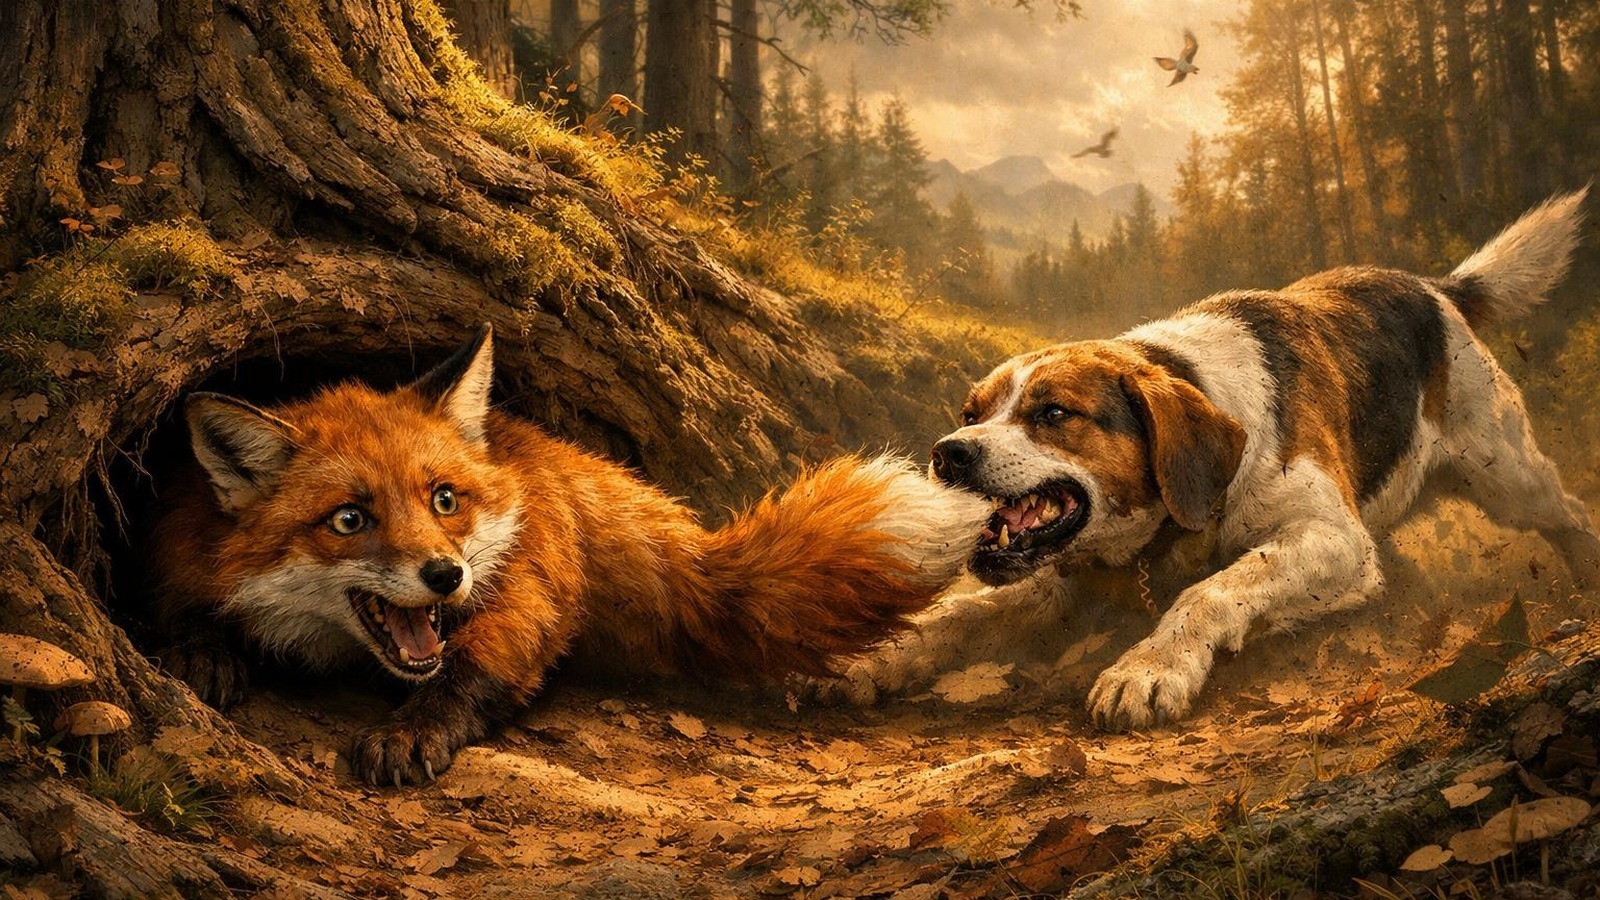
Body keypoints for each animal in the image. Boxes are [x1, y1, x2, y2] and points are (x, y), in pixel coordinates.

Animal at [148, 326, 991, 786]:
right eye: (349, 519)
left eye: (443, 501)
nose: (445, 575)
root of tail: (537, 447)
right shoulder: (180, 538)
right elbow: (185, 607)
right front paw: (200, 650)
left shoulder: (499, 606)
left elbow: (468, 673)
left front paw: (412, 729)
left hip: (528, 575)